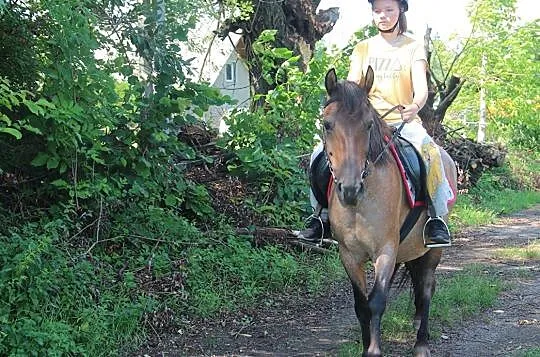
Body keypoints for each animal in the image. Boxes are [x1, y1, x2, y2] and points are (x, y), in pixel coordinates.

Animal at [322, 67, 458, 356]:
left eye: (368, 125)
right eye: (327, 124)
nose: (349, 189)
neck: (360, 204)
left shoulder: (385, 249)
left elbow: (377, 301)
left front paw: (374, 350)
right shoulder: (349, 254)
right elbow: (361, 305)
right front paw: (366, 347)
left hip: (431, 249)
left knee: (426, 287)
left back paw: (421, 343)